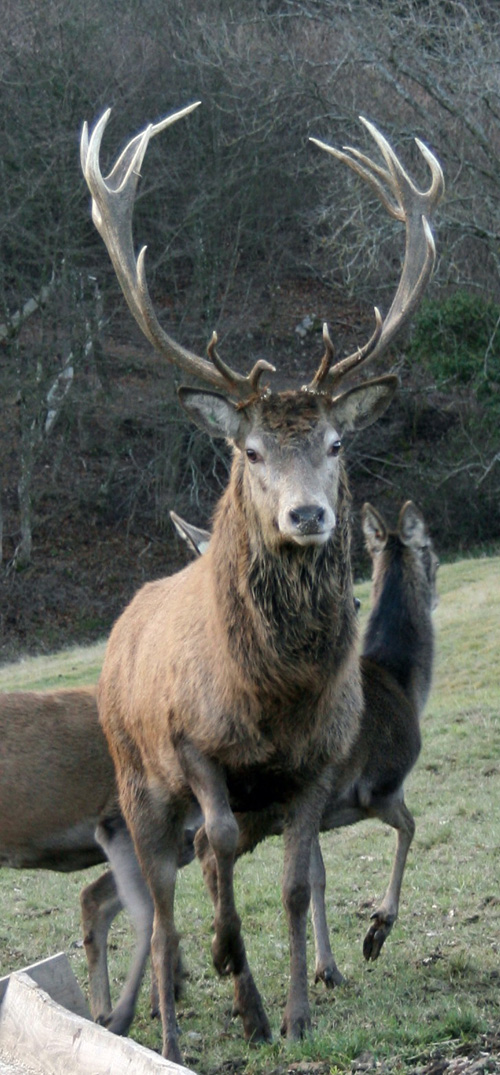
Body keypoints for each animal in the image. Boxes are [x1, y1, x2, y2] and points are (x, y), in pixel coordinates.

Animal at [81, 101, 443, 1062]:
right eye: (248, 451)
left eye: (336, 441)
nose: (308, 515)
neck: (272, 695)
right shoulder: (193, 748)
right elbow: (216, 851)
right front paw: (235, 982)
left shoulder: (316, 766)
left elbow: (292, 885)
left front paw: (296, 1012)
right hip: (134, 778)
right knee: (165, 895)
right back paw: (170, 1025)